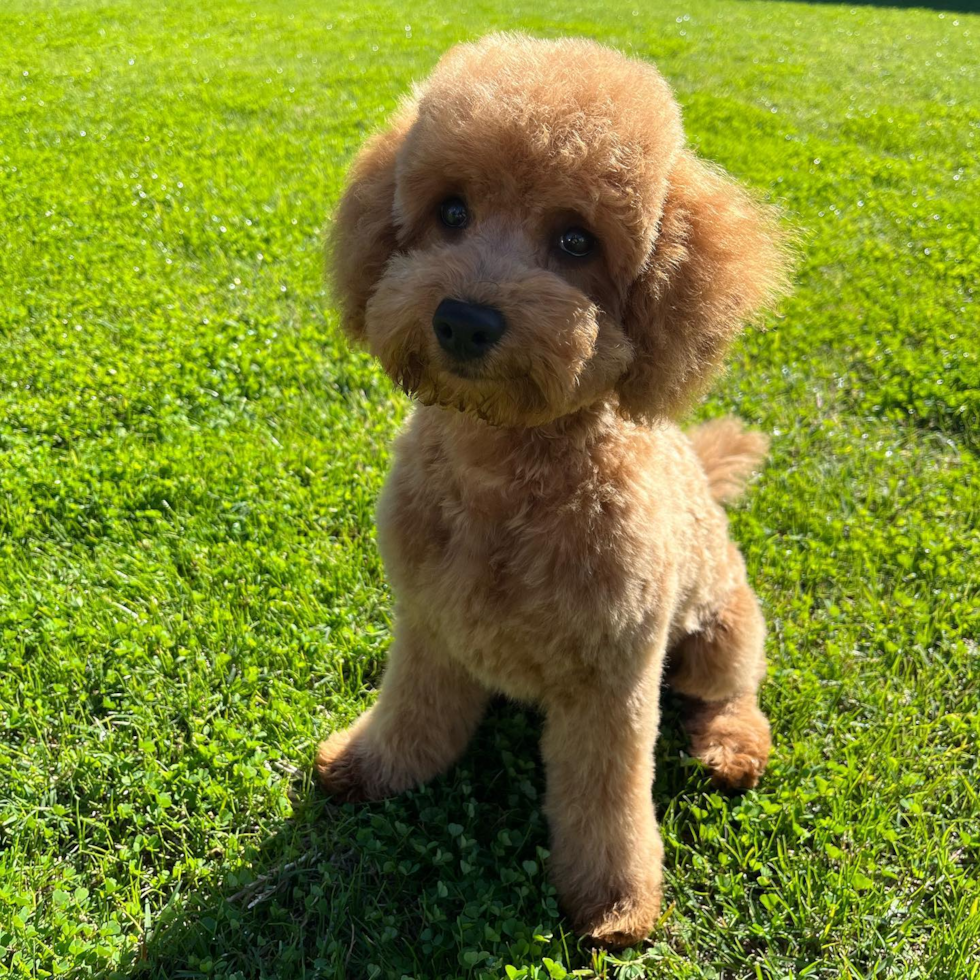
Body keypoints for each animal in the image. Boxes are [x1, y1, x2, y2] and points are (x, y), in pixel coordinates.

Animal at [318, 34, 792, 944]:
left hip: (723, 623)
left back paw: (733, 749)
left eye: (576, 241)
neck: (503, 475)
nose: (464, 320)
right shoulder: (426, 626)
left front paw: (614, 904)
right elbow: (412, 715)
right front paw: (369, 767)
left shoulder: (612, 684)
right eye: (452, 212)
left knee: (730, 690)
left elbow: (607, 803)